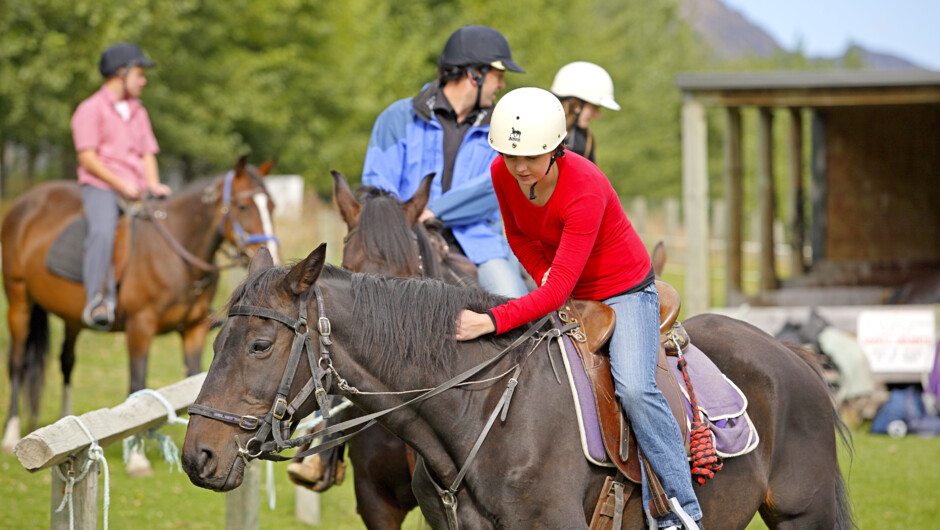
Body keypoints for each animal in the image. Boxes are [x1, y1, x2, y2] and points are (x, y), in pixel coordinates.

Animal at [1, 156, 280, 450]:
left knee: (67, 361)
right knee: (17, 362)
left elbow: (195, 379)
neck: (177, 253)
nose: (272, 253)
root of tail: (26, 201)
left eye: (272, 205)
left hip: (72, 317)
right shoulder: (140, 326)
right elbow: (137, 385)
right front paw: (137, 455)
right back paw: (11, 433)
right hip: (19, 300)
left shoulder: (194, 329)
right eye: (242, 206)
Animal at [180, 245, 856, 524]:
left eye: (260, 345)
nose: (198, 456)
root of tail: (793, 357)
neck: (481, 415)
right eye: (214, 344)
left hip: (805, 517)